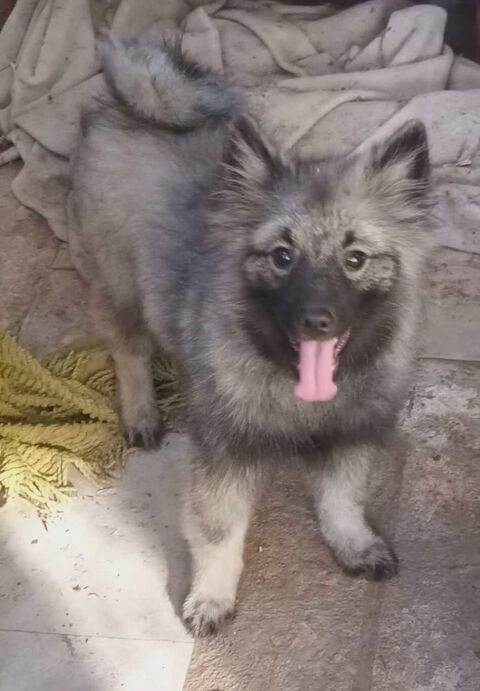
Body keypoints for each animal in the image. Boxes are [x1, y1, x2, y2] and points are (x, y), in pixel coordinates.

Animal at [68, 36, 433, 637]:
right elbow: (219, 533)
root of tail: (137, 106)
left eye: (355, 259)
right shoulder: (226, 453)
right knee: (129, 350)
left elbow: (342, 499)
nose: (316, 321)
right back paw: (141, 412)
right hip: (118, 283)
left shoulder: (351, 435)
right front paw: (212, 597)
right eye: (282, 257)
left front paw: (353, 544)